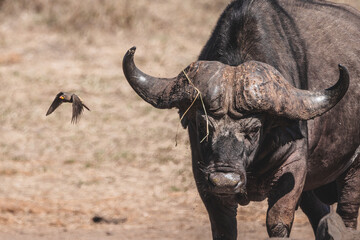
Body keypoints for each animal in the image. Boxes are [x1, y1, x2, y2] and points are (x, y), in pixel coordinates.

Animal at [122, 0, 358, 239]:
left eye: (254, 130)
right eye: (203, 127)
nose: (225, 181)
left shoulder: (294, 166)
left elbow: (277, 223)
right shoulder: (203, 174)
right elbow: (224, 227)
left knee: (346, 212)